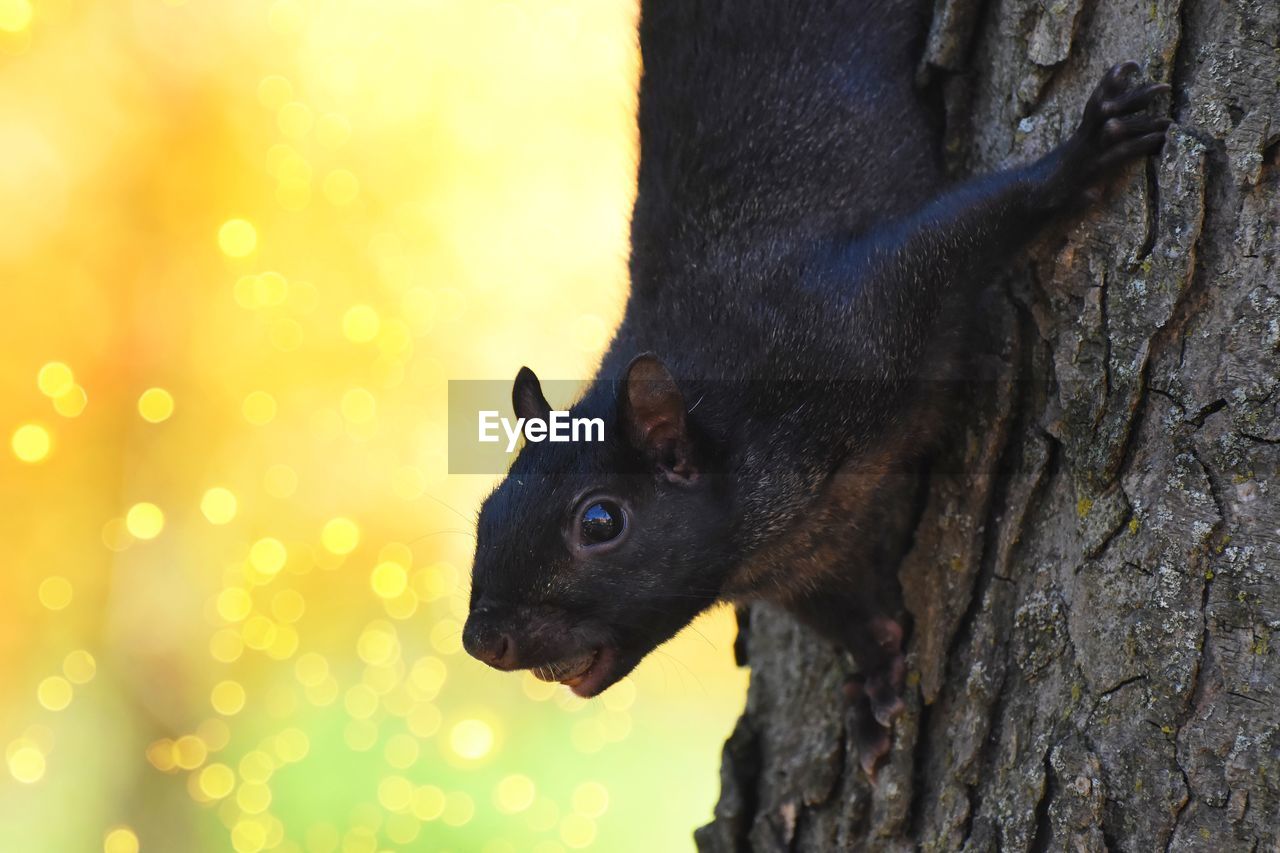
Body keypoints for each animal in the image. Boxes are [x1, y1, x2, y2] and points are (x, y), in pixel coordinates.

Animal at [460, 0, 1172, 768]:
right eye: (486, 511)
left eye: (600, 522)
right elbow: (844, 613)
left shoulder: (857, 312)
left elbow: (966, 226)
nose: (482, 640)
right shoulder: (797, 557)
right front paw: (876, 674)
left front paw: (1081, 156)